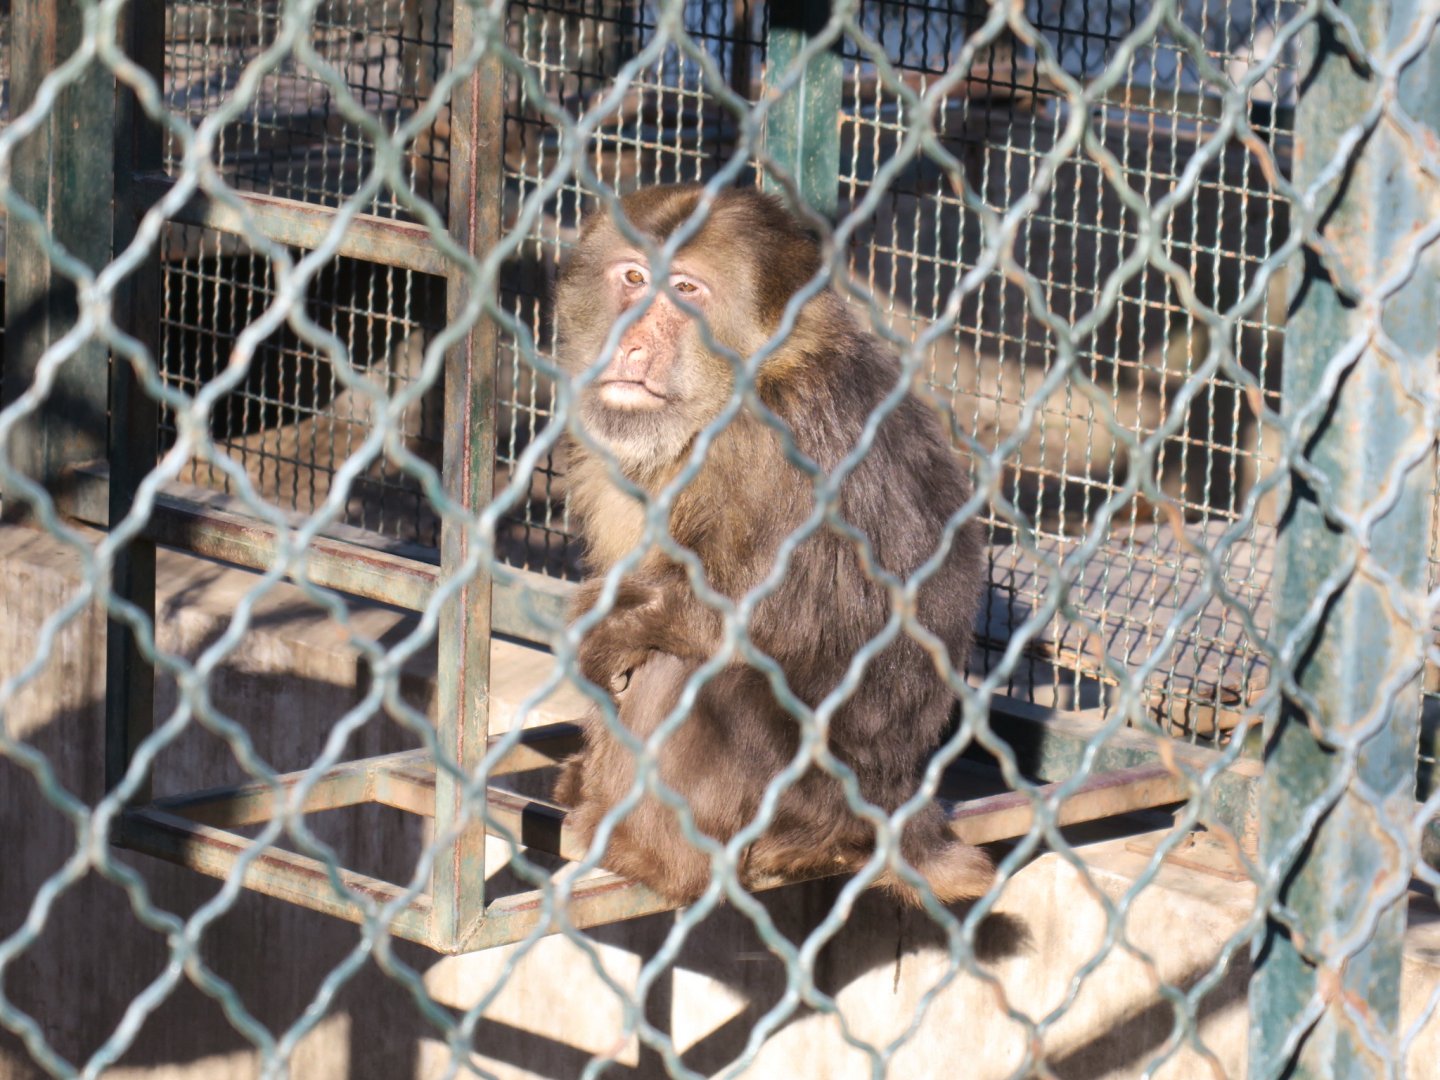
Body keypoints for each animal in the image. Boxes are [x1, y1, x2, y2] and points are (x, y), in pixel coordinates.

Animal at [551, 184, 993, 907]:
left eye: (686, 290)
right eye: (634, 278)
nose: (632, 343)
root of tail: (900, 811)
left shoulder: (765, 446)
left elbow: (757, 620)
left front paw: (606, 635)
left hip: (802, 805)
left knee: (699, 670)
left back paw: (654, 857)